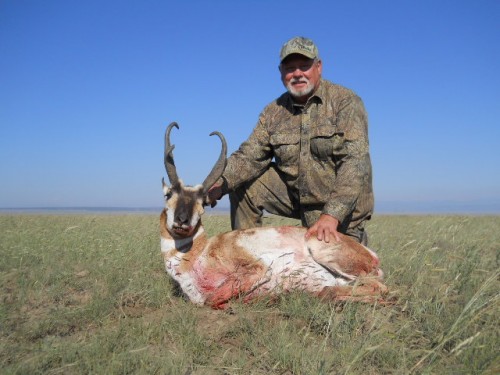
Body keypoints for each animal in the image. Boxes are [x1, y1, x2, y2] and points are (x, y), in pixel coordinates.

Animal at [160, 122, 386, 310]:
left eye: (203, 203)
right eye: (168, 194)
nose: (182, 221)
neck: (199, 253)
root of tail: (369, 253)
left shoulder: (258, 269)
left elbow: (211, 299)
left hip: (321, 249)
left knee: (377, 289)